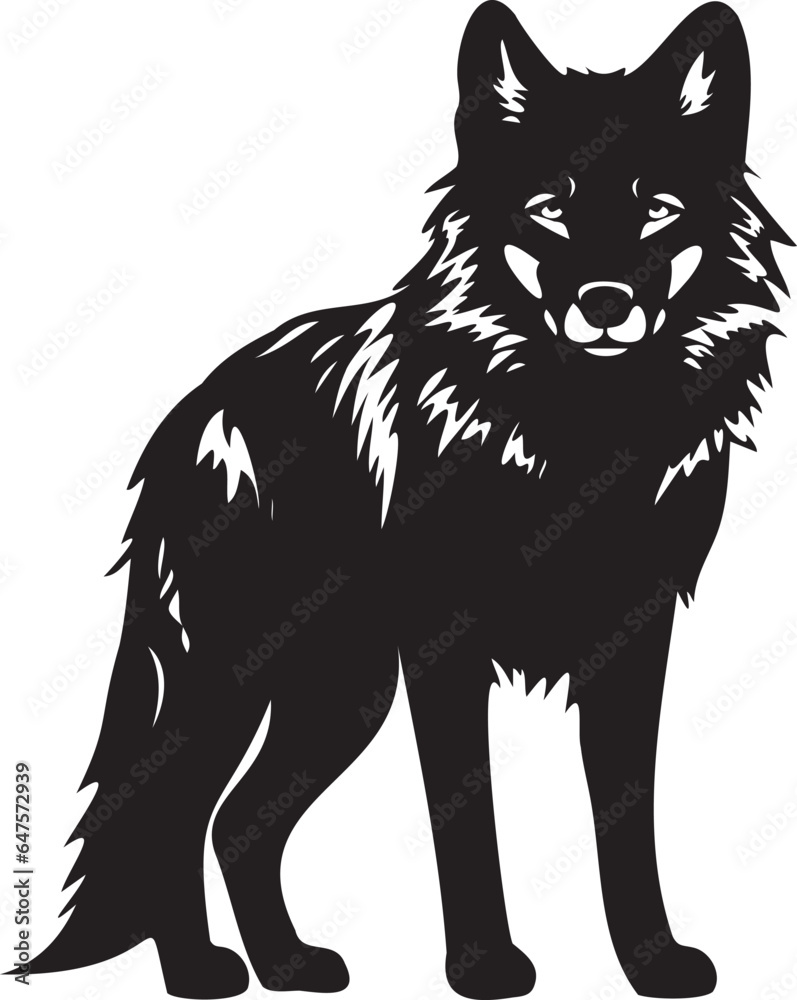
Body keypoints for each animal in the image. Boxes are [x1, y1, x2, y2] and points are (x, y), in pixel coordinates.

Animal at [25, 2, 791, 998]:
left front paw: (652, 963)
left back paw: (288, 964)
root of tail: (190, 414)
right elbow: (464, 816)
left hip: (340, 693)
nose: (604, 302)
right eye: (549, 207)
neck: (577, 433)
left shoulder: (633, 634)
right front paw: (485, 967)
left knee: (238, 822)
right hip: (238, 679)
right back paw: (201, 971)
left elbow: (626, 815)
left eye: (656, 208)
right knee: (172, 810)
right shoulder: (445, 646)